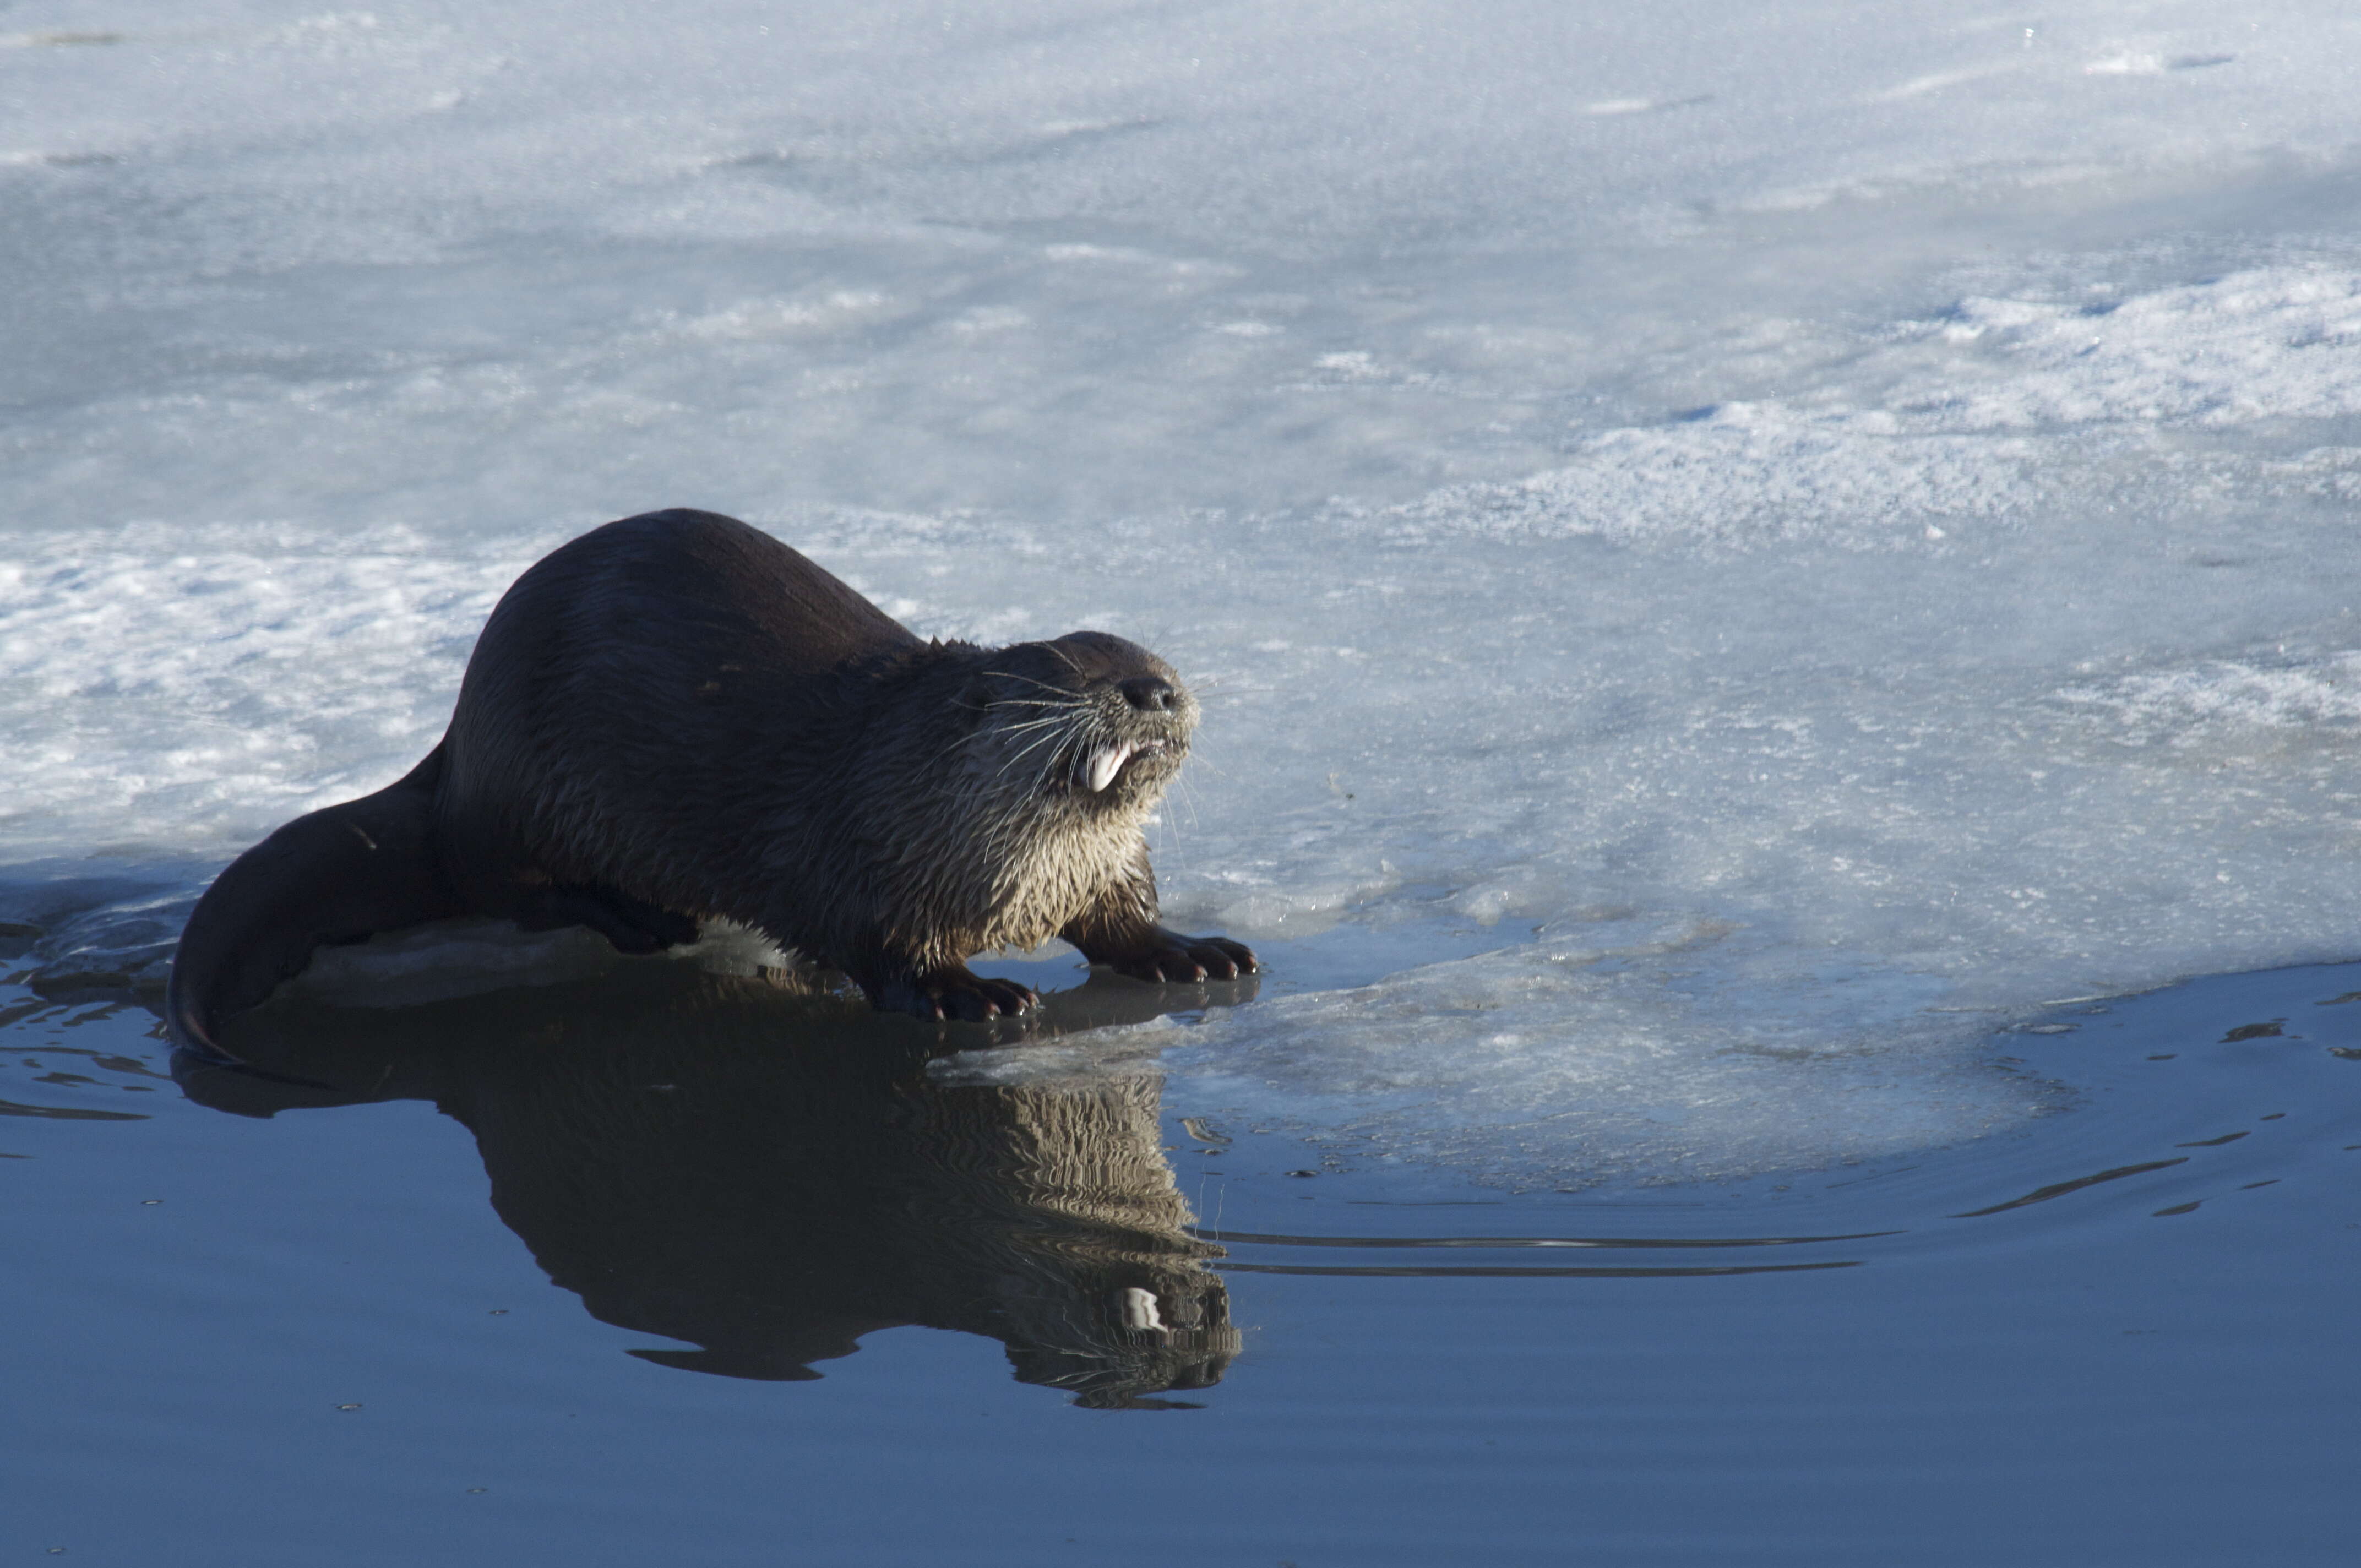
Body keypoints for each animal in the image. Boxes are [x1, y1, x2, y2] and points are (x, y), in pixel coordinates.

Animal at [166, 508, 1256, 1058]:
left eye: (1151, 660)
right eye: (1069, 676)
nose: (1158, 691)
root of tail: (454, 750)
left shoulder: (1101, 869)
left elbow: (1123, 919)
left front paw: (1190, 950)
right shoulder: (850, 854)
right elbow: (879, 945)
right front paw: (970, 992)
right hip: (527, 782)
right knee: (505, 883)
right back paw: (644, 916)